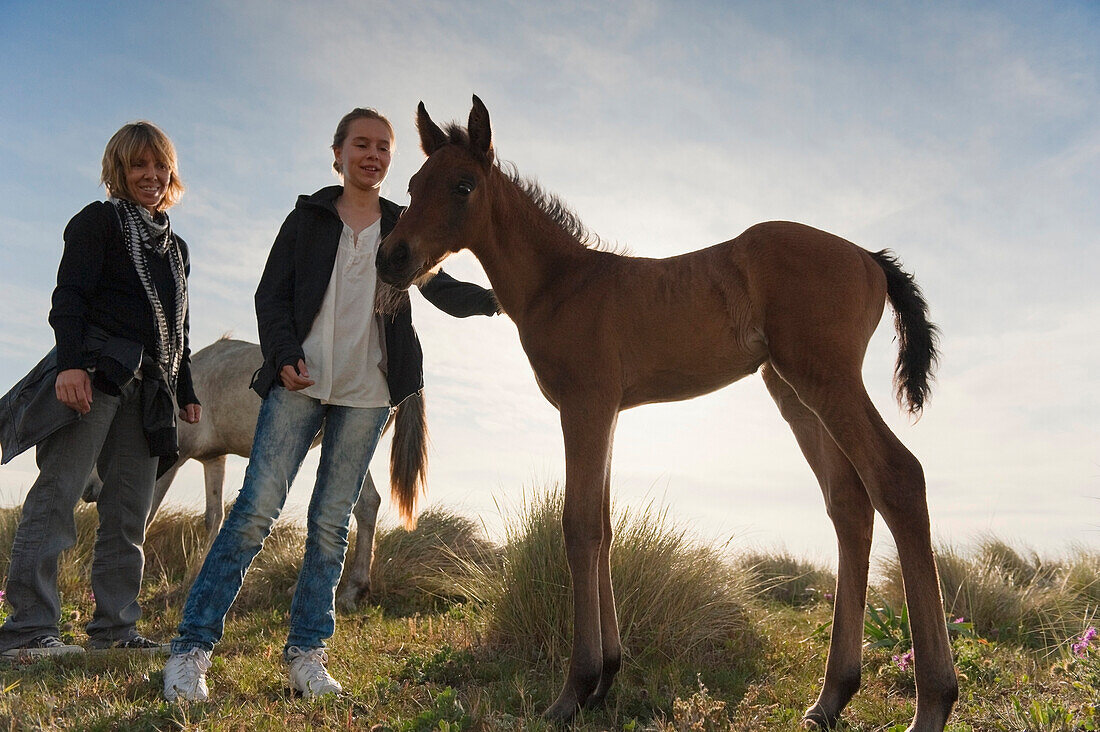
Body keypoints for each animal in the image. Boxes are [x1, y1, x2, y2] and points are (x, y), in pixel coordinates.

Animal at [376, 96, 954, 730]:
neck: (562, 283)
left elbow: (578, 526)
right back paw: (831, 697)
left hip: (827, 379)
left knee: (898, 476)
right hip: (795, 392)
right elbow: (603, 526)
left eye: (463, 186)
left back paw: (933, 702)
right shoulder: (607, 412)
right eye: (412, 184)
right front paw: (606, 676)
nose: (391, 257)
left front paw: (573, 690)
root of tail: (869, 258)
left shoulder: (584, 404)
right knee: (849, 504)